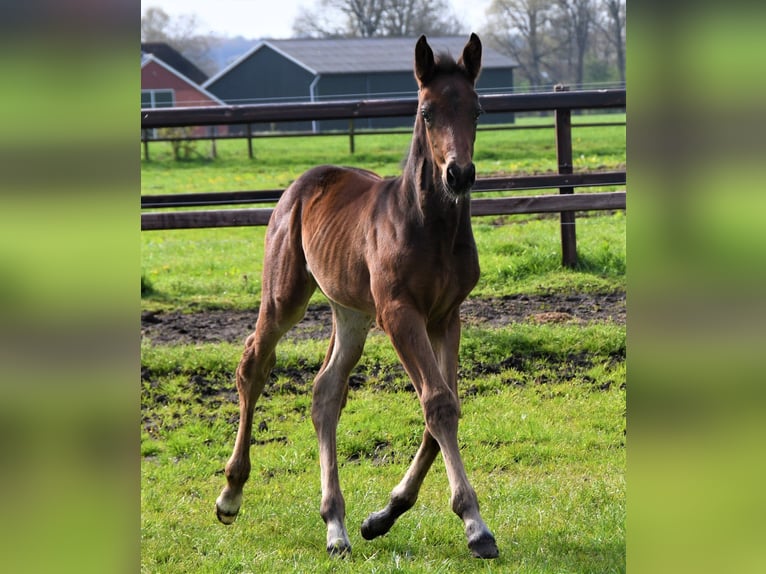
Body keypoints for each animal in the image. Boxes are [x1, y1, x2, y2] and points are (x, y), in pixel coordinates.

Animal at [218, 33, 498, 560]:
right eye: (427, 111)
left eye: (477, 109)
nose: (460, 175)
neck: (431, 226)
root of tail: (303, 182)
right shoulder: (400, 314)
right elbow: (438, 404)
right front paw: (475, 525)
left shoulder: (446, 316)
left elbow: (444, 406)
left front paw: (383, 515)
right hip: (286, 296)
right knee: (254, 365)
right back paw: (230, 494)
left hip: (350, 313)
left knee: (325, 392)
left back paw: (337, 525)